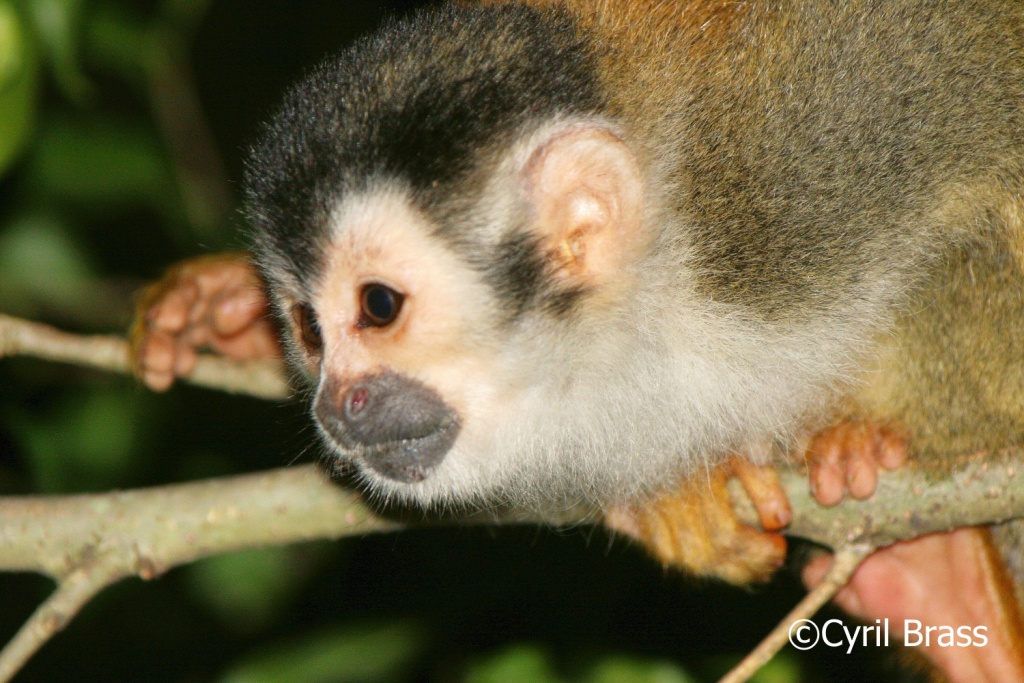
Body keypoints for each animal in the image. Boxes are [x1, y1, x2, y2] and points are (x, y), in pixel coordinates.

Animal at [134, 1, 1024, 679]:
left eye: (378, 306)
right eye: (308, 332)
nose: (337, 406)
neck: (656, 291)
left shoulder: (809, 165)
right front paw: (222, 309)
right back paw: (943, 592)